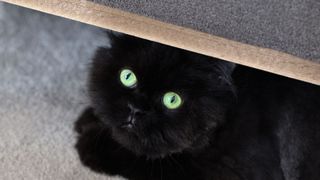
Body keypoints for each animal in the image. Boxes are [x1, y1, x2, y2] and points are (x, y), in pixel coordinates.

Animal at [75, 34, 320, 180]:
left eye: (172, 100)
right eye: (127, 77)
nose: (136, 110)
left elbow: (153, 161)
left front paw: (90, 144)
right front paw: (88, 119)